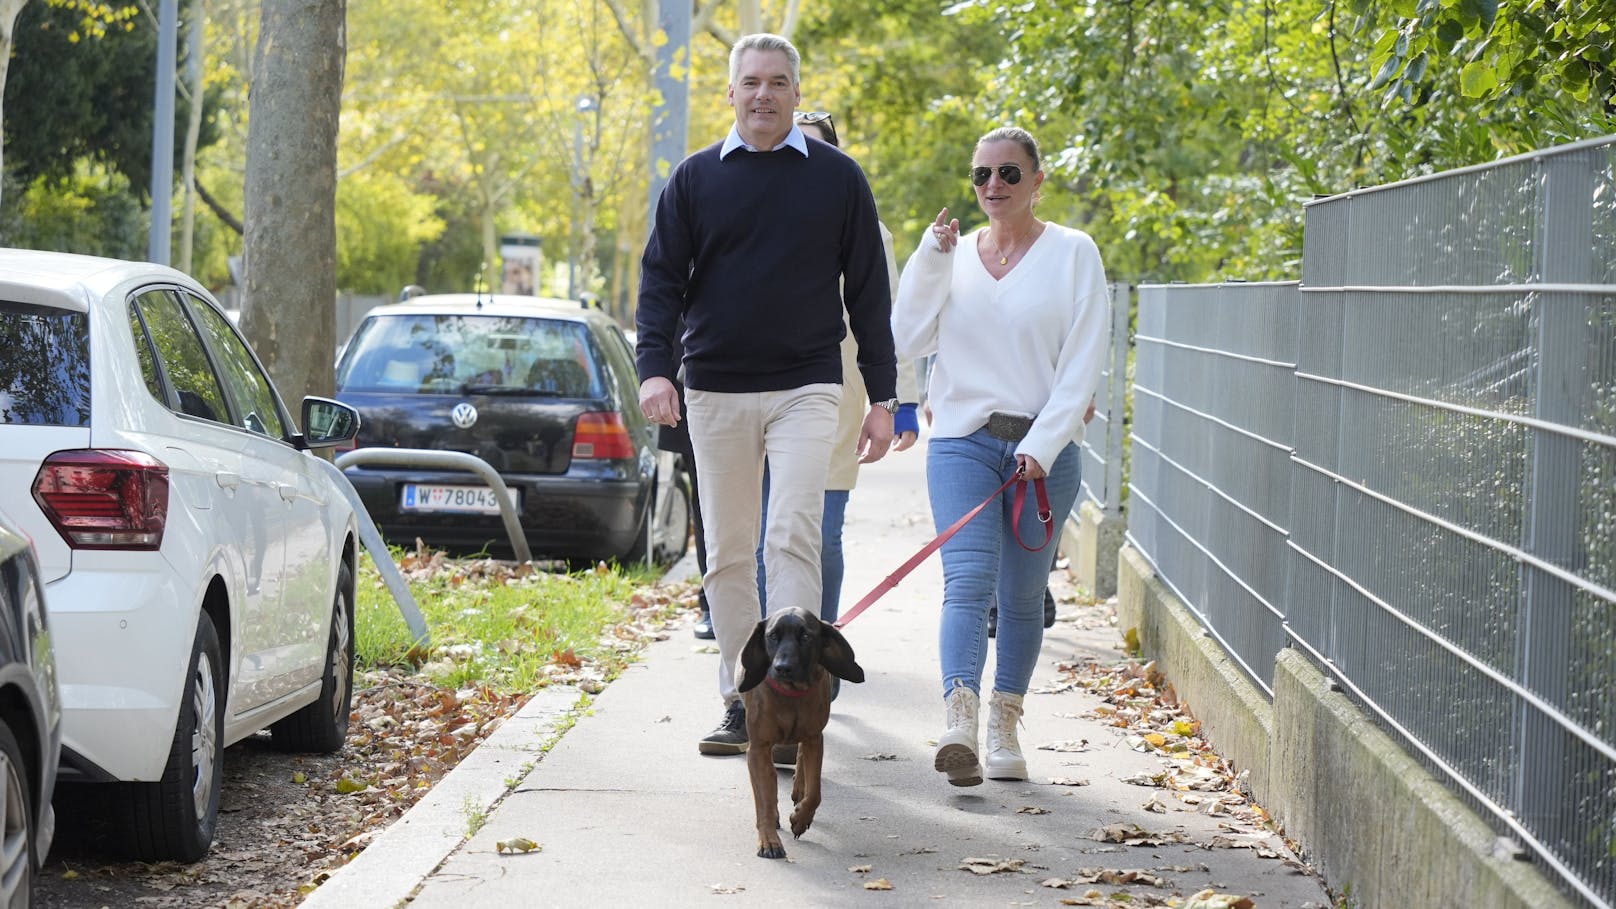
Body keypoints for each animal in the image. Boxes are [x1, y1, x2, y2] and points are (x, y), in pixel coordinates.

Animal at [740, 604, 866, 854]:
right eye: (772, 636)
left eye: (806, 637)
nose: (782, 668)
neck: (791, 694)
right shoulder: (758, 749)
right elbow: (765, 798)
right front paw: (768, 839)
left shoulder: (815, 739)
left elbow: (815, 791)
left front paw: (800, 819)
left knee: (800, 759)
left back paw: (798, 789)